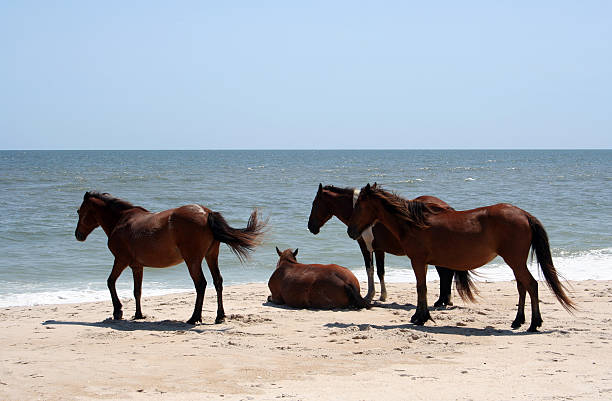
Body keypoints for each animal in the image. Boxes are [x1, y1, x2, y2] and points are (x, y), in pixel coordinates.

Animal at [74, 189, 266, 324]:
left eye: (79, 211)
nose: (78, 235)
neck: (121, 220)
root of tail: (206, 213)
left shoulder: (121, 260)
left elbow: (110, 282)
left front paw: (118, 311)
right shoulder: (137, 266)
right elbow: (137, 291)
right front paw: (138, 314)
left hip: (193, 260)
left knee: (201, 284)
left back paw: (194, 318)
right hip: (211, 256)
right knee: (217, 281)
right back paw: (220, 316)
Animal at [308, 183, 476, 304]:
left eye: (314, 203)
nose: (311, 227)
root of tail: (446, 207)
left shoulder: (367, 247)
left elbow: (371, 270)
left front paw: (371, 295)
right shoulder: (379, 249)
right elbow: (380, 271)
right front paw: (382, 295)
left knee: (445, 274)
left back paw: (442, 301)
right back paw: (444, 300)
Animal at [346, 183, 576, 330]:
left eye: (359, 206)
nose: (351, 231)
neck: (414, 223)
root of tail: (523, 214)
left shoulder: (418, 261)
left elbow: (421, 288)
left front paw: (421, 317)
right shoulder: (422, 262)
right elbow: (423, 288)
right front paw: (421, 316)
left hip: (515, 261)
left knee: (531, 285)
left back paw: (534, 324)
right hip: (516, 262)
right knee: (522, 287)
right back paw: (518, 321)